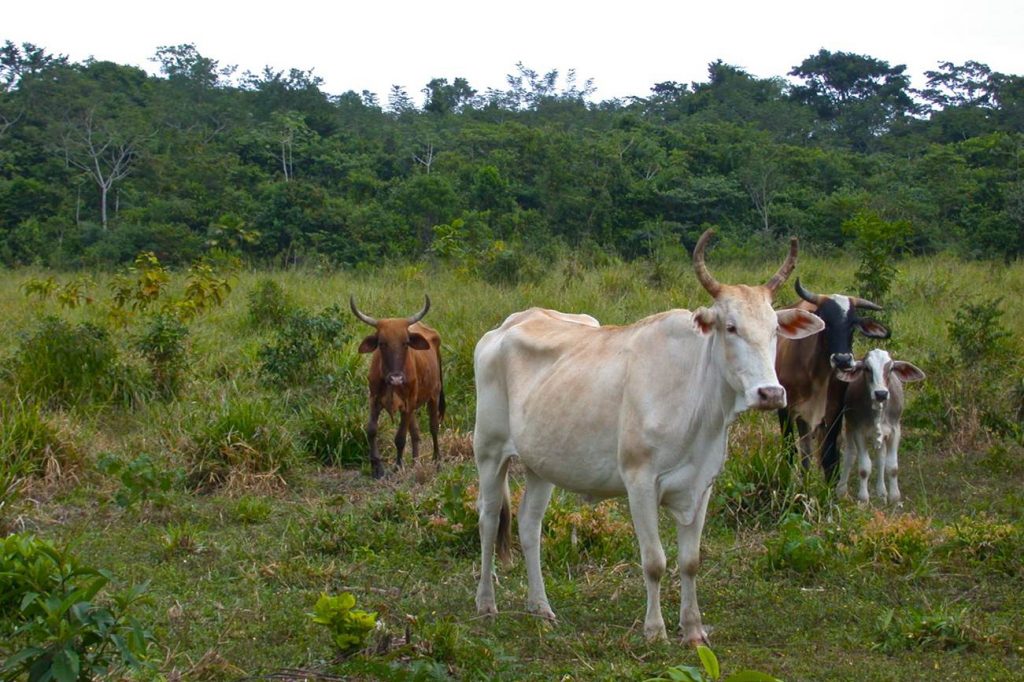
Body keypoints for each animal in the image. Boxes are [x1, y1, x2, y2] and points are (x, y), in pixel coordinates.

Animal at [350, 292, 442, 477]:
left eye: (405, 343)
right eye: (382, 343)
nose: (396, 379)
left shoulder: (407, 403)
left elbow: (400, 438)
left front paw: (398, 466)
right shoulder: (374, 399)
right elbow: (371, 430)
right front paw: (376, 467)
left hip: (434, 395)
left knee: (433, 427)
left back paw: (437, 461)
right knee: (415, 433)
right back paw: (415, 462)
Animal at [471, 231, 823, 638]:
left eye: (774, 330)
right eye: (731, 327)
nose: (770, 393)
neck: (696, 406)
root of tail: (508, 324)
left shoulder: (702, 484)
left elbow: (690, 561)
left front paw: (693, 628)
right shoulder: (639, 482)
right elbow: (654, 560)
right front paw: (655, 629)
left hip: (540, 464)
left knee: (529, 525)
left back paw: (540, 606)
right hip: (489, 451)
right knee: (489, 519)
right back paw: (486, 603)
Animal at [835, 348, 925, 501]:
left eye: (891, 368)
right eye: (867, 368)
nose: (881, 393)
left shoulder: (895, 431)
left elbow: (892, 467)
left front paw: (894, 498)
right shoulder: (859, 432)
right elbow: (864, 468)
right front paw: (863, 498)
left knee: (881, 457)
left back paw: (882, 491)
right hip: (849, 427)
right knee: (850, 455)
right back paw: (841, 489)